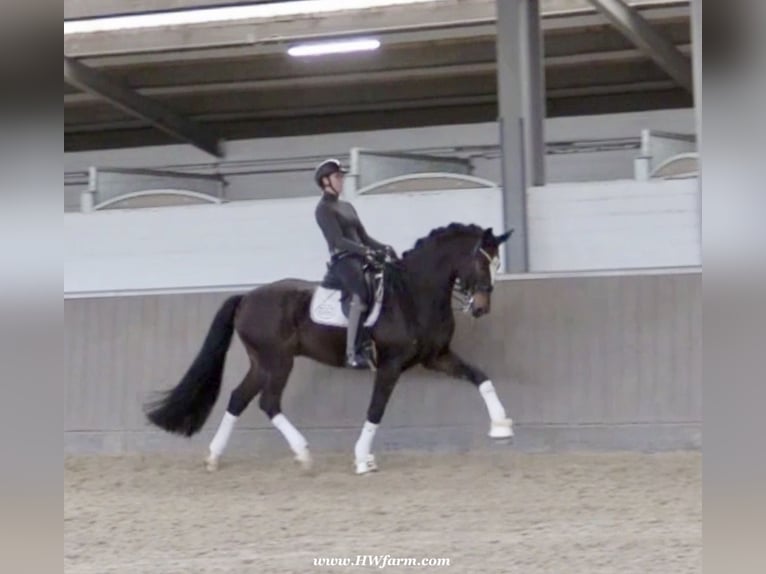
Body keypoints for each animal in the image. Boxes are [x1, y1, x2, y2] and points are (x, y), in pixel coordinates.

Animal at [144, 223, 516, 474]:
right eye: (482, 262)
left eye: (497, 264)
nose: (480, 308)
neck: (413, 293)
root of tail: (246, 298)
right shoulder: (390, 364)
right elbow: (376, 410)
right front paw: (363, 459)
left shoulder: (435, 357)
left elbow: (481, 377)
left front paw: (501, 426)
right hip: (278, 361)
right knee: (268, 402)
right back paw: (303, 454)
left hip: (262, 363)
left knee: (238, 398)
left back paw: (214, 457)